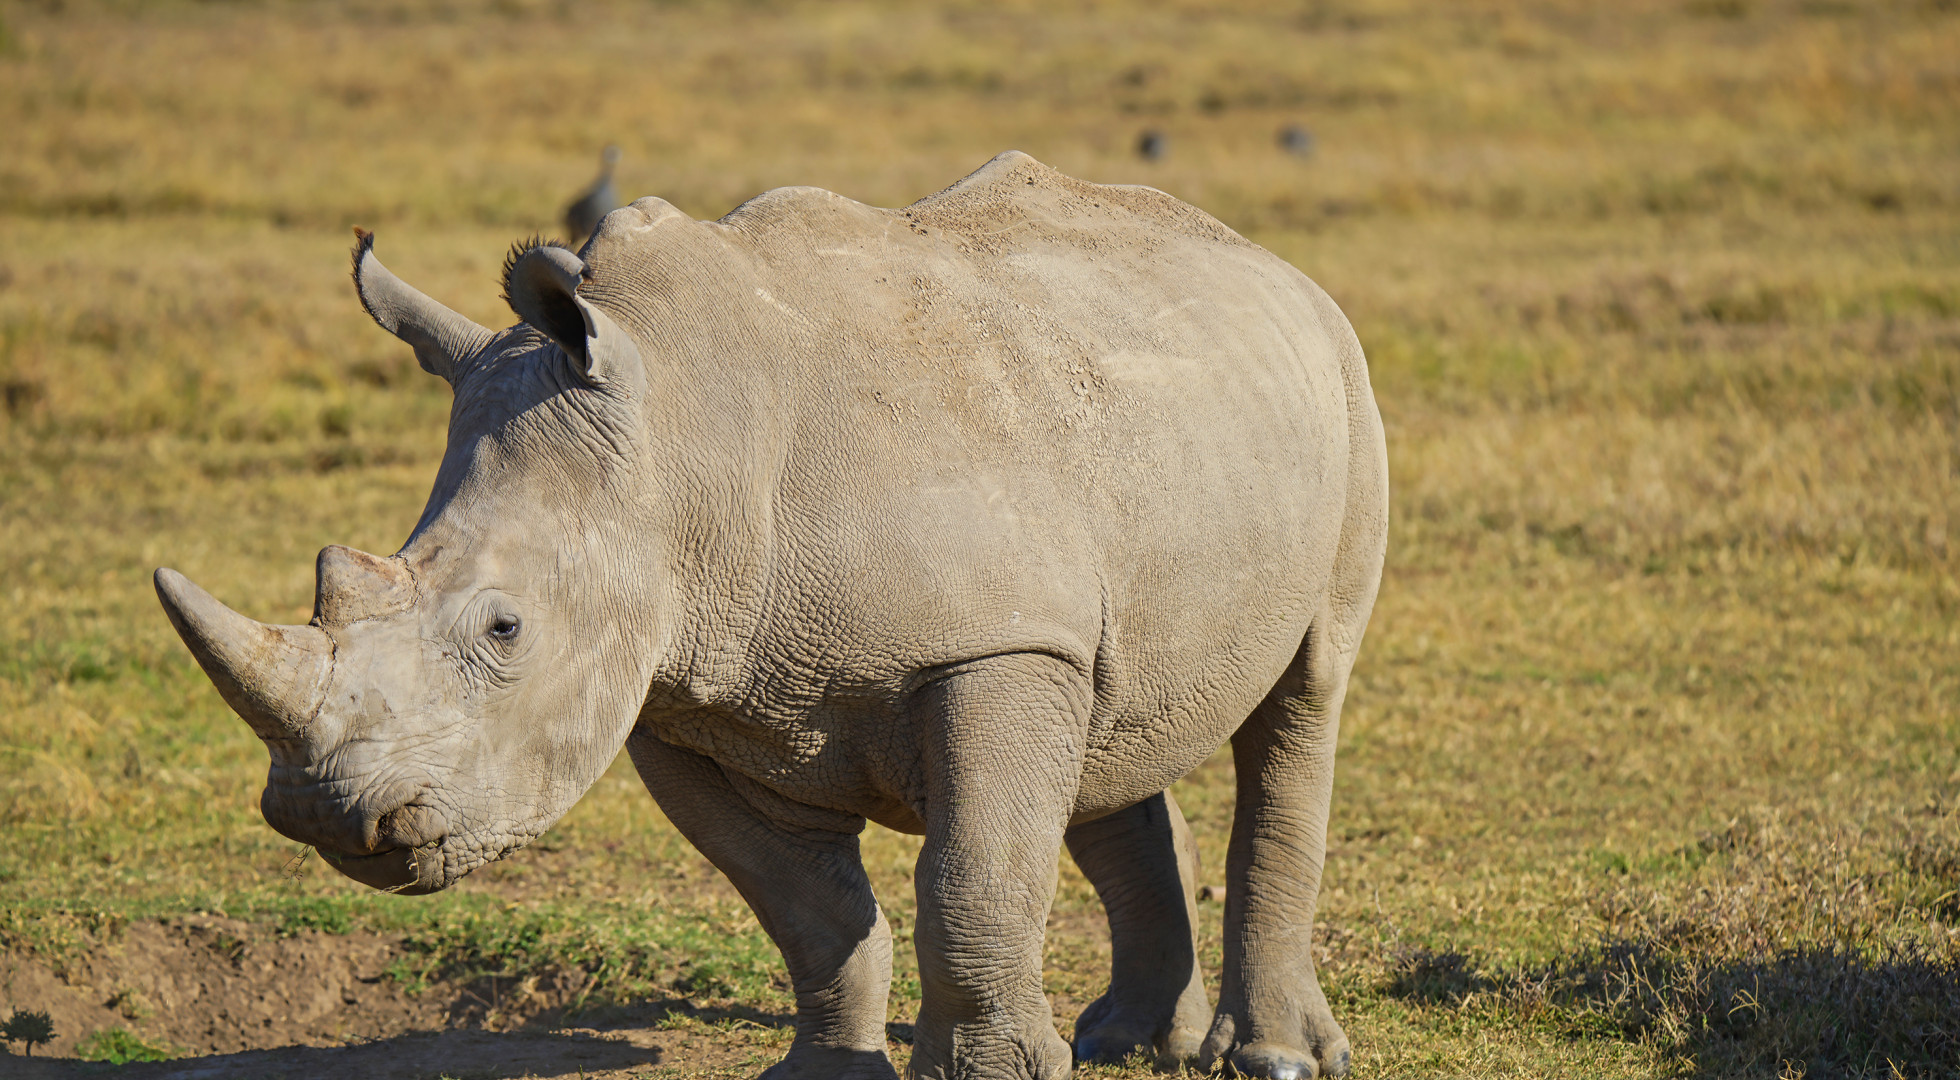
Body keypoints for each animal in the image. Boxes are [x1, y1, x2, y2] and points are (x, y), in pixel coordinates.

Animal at [154, 151, 1386, 1080]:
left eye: (505, 631)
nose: (328, 820)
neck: (682, 438)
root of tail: (1261, 257)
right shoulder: (680, 693)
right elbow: (808, 907)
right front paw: (827, 1074)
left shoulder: (988, 645)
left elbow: (971, 878)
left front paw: (987, 1074)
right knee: (1107, 719)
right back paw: (1128, 1041)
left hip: (1342, 379)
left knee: (1303, 695)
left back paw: (1274, 1058)